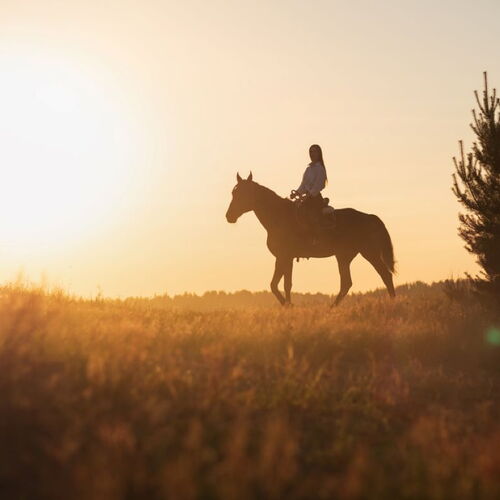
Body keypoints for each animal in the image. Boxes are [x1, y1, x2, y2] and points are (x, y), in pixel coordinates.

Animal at [225, 172, 396, 306]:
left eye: (242, 194)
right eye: (234, 193)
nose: (229, 216)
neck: (279, 217)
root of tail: (370, 217)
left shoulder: (285, 257)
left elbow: (281, 284)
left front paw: (288, 305)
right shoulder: (283, 258)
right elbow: (280, 284)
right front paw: (287, 305)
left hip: (369, 253)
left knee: (385, 275)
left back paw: (393, 302)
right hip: (344, 256)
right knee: (347, 283)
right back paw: (332, 308)